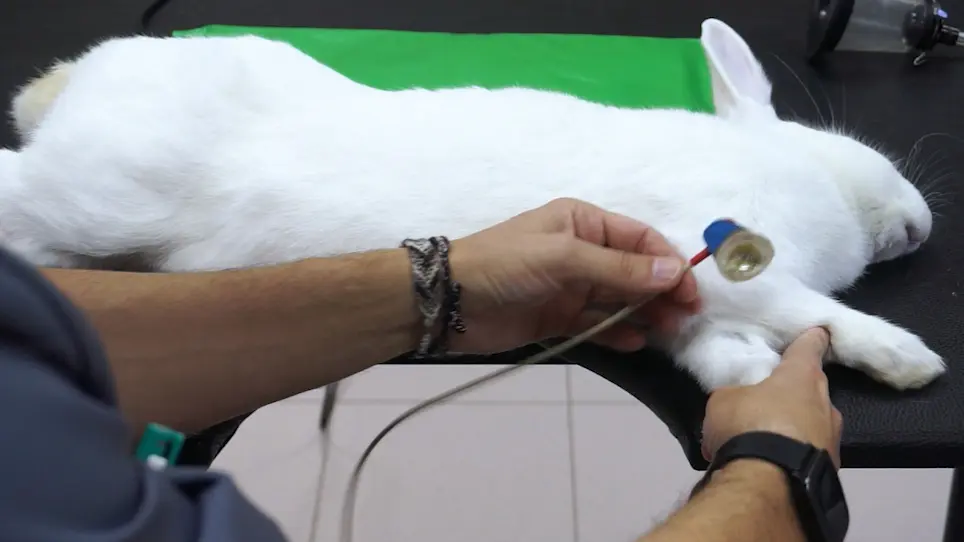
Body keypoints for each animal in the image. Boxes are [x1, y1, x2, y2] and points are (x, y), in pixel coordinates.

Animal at [0, 18, 945, 392]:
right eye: (855, 146)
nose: (923, 223)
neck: (779, 165)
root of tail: (71, 86)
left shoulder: (683, 301)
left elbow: (710, 348)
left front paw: (750, 376)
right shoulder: (717, 253)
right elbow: (802, 305)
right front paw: (907, 359)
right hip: (95, 198)